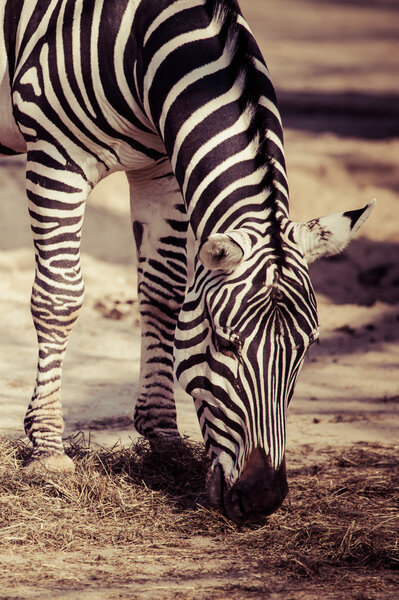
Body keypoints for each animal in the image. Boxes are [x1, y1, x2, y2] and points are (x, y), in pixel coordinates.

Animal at [0, 0, 376, 524]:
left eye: (309, 347)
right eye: (225, 342)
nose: (262, 498)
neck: (142, 41)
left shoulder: (159, 166)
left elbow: (162, 293)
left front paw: (163, 437)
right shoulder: (57, 156)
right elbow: (60, 297)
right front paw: (48, 452)